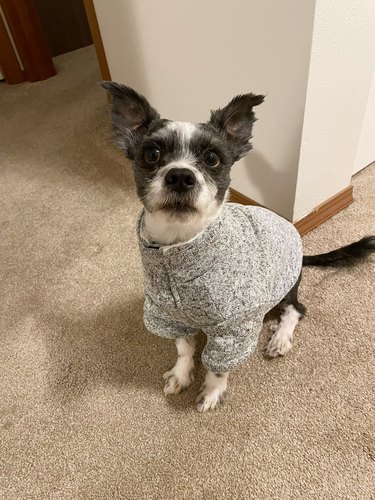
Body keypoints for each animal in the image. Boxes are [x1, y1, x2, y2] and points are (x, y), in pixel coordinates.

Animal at [100, 81, 375, 410]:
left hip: (282, 288)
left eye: (212, 158)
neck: (178, 246)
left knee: (296, 308)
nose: (180, 176)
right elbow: (183, 347)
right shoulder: (167, 316)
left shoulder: (234, 327)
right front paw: (181, 374)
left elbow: (218, 365)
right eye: (152, 154)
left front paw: (212, 391)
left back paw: (280, 338)